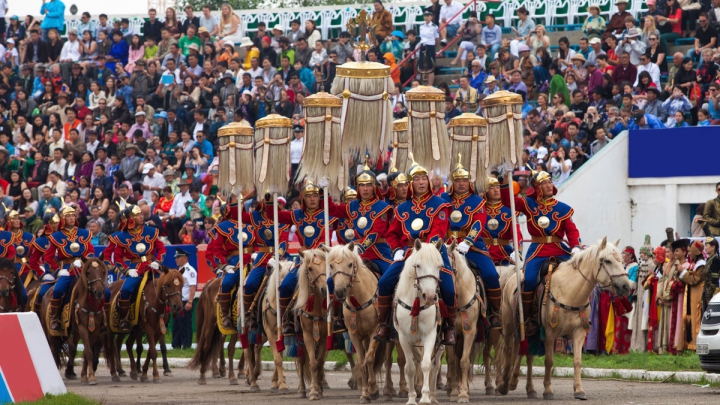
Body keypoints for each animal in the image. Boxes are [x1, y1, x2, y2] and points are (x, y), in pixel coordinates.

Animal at [394, 240, 444, 404]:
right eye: (418, 265)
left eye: (439, 266)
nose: (430, 297)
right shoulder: (403, 338)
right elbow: (409, 367)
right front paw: (411, 398)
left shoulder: (430, 335)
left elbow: (427, 365)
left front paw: (425, 397)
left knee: (435, 365)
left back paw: (433, 395)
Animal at [496, 237, 632, 398]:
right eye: (607, 261)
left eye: (621, 260)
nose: (626, 287)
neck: (570, 292)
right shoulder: (549, 334)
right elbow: (549, 361)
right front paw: (548, 390)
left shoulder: (579, 332)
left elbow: (577, 361)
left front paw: (579, 390)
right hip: (510, 325)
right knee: (509, 350)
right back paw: (504, 384)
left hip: (530, 332)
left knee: (527, 355)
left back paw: (527, 387)